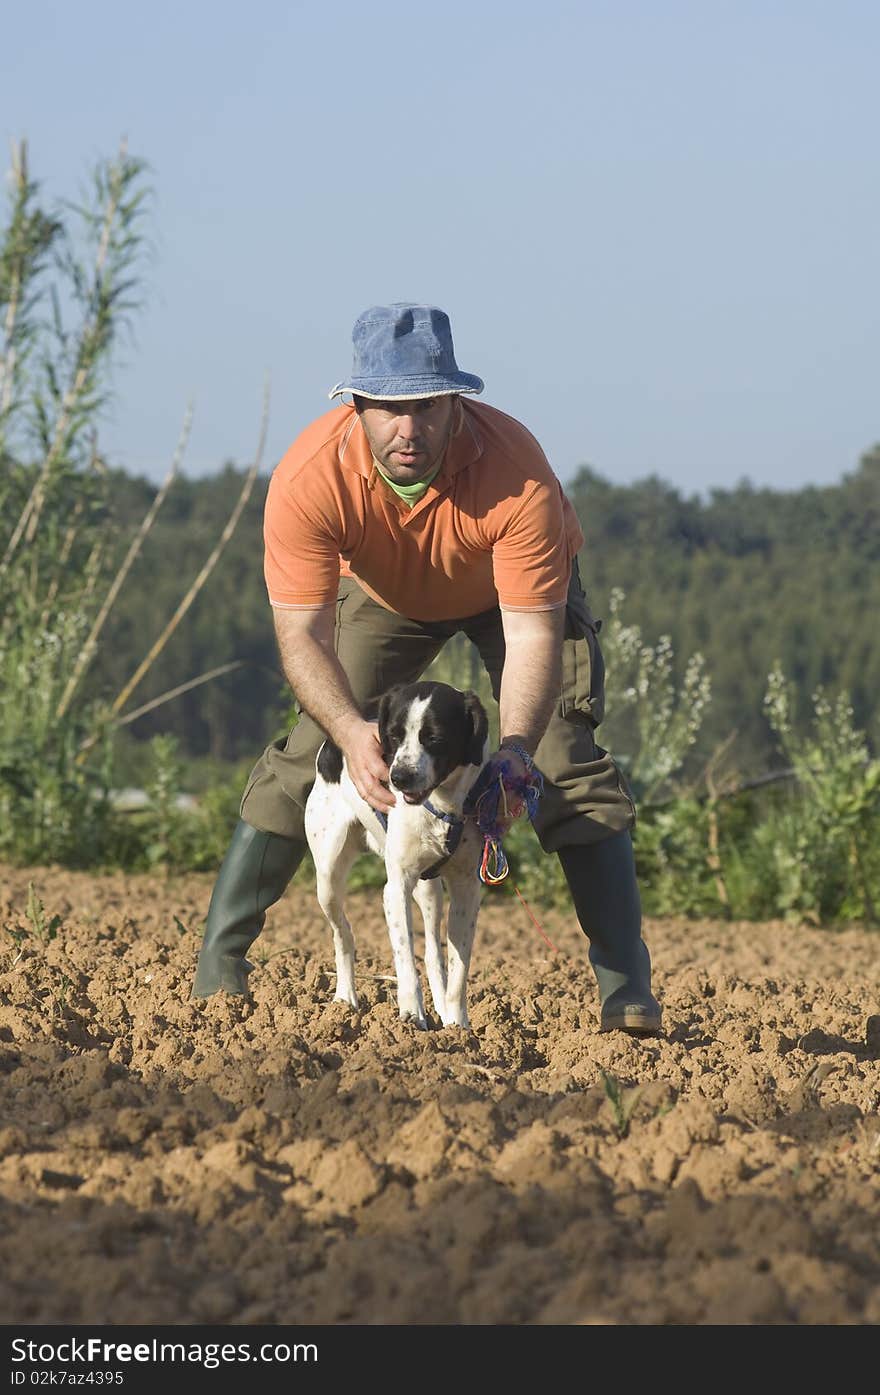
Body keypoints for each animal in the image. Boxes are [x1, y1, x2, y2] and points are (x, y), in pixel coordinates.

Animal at [306, 680, 493, 1032]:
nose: (399, 778)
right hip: (327, 879)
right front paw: (411, 1014)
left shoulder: (467, 890)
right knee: (343, 934)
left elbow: (458, 968)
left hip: (429, 889)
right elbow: (405, 956)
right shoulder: (395, 889)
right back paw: (345, 999)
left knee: (433, 952)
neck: (441, 805)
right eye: (392, 736)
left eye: (435, 737)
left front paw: (459, 1027)